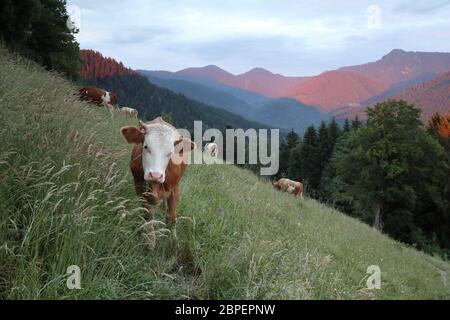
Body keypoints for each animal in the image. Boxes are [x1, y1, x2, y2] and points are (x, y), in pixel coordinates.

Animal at [120, 117, 196, 245]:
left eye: (170, 153)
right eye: (145, 146)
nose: (155, 175)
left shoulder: (175, 189)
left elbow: (171, 217)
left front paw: (173, 241)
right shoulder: (140, 189)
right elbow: (148, 216)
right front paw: (151, 242)